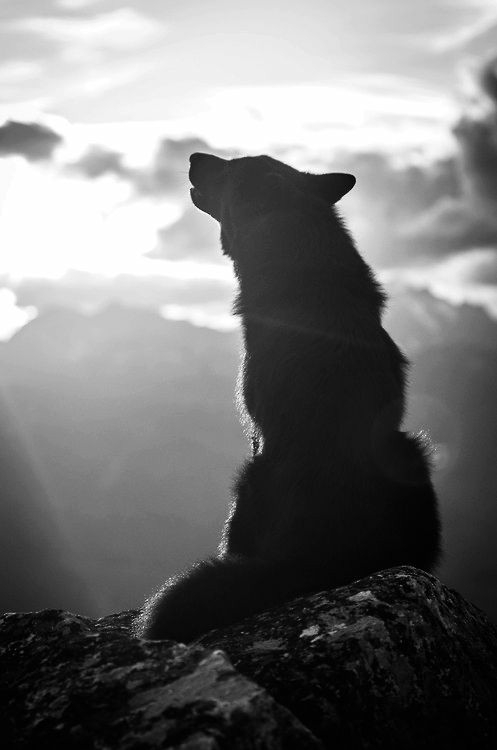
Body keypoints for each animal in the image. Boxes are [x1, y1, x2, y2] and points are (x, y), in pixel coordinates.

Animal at [134, 152, 441, 642]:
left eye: (231, 167)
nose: (195, 156)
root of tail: (313, 561)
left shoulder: (258, 432)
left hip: (251, 475)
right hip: (408, 451)